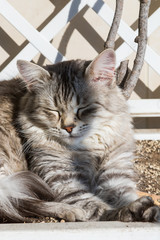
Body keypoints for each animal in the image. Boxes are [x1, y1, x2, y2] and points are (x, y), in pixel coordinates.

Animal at [0, 48, 159, 223]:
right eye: (54, 111)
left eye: (83, 108)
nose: (68, 127)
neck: (90, 149)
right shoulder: (64, 180)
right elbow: (100, 209)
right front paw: (129, 211)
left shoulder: (116, 176)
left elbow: (125, 196)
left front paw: (148, 211)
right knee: (16, 202)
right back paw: (70, 211)